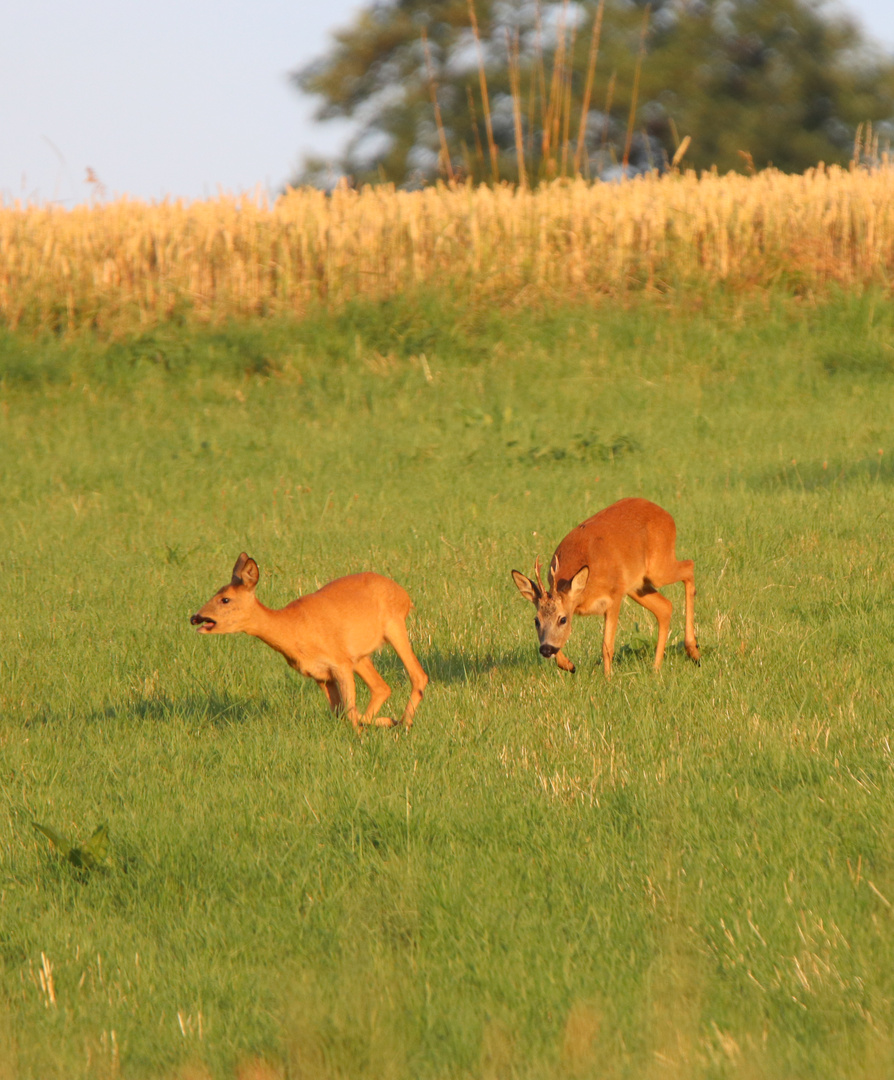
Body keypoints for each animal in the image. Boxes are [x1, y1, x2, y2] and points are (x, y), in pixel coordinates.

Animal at [188, 552, 429, 730]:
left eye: (225, 599)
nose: (195, 617)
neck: (293, 631)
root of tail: (405, 594)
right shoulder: (320, 675)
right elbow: (341, 713)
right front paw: (380, 723)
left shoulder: (340, 663)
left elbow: (350, 712)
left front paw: (367, 732)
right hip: (360, 655)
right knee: (381, 687)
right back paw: (395, 721)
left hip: (394, 627)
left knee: (418, 675)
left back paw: (404, 723)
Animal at [509, 494, 699, 673]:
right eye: (536, 620)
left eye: (563, 619)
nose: (546, 650)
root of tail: (667, 515)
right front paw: (569, 665)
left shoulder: (614, 596)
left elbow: (607, 647)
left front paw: (608, 678)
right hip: (637, 585)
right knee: (665, 607)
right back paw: (656, 667)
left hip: (657, 569)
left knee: (689, 567)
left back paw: (693, 650)